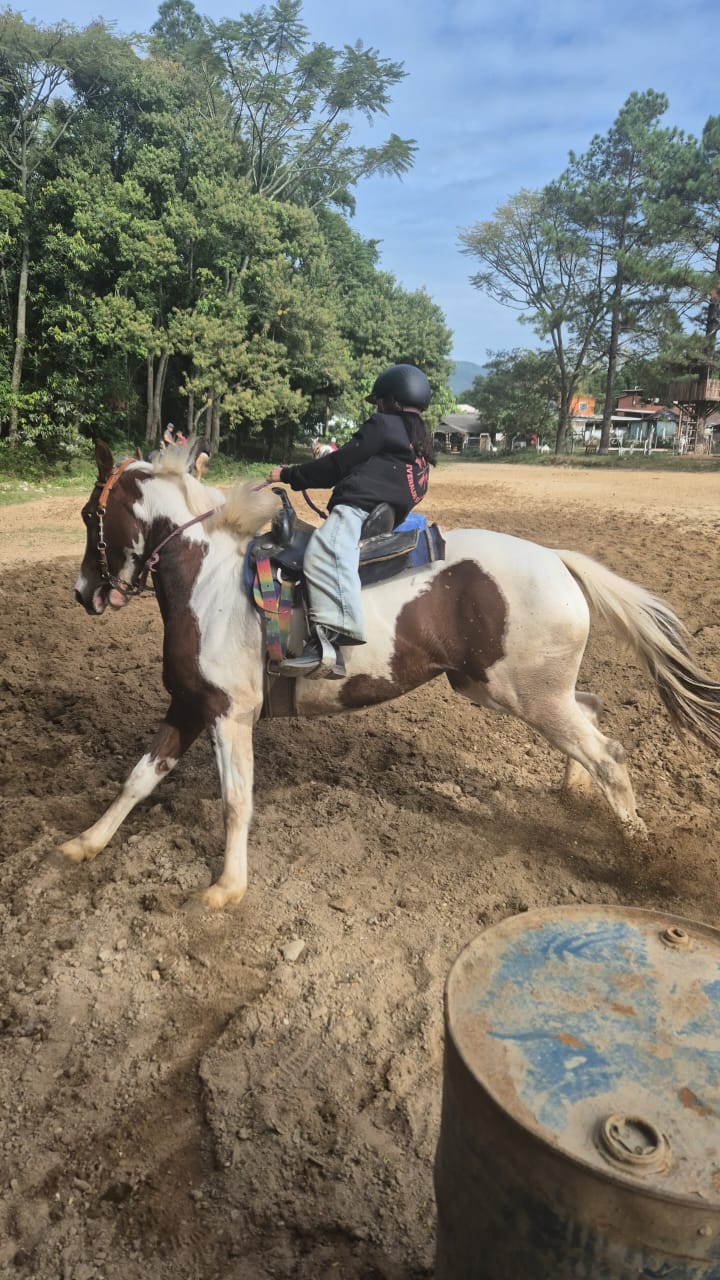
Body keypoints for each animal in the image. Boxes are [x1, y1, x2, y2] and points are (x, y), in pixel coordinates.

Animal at [62, 439, 720, 909]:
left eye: (90, 513)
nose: (83, 593)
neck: (212, 580)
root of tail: (556, 559)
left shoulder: (229, 712)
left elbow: (235, 799)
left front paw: (227, 888)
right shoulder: (189, 704)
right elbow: (139, 779)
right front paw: (85, 843)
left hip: (529, 696)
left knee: (609, 756)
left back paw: (640, 855)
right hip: (502, 688)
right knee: (594, 711)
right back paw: (574, 791)